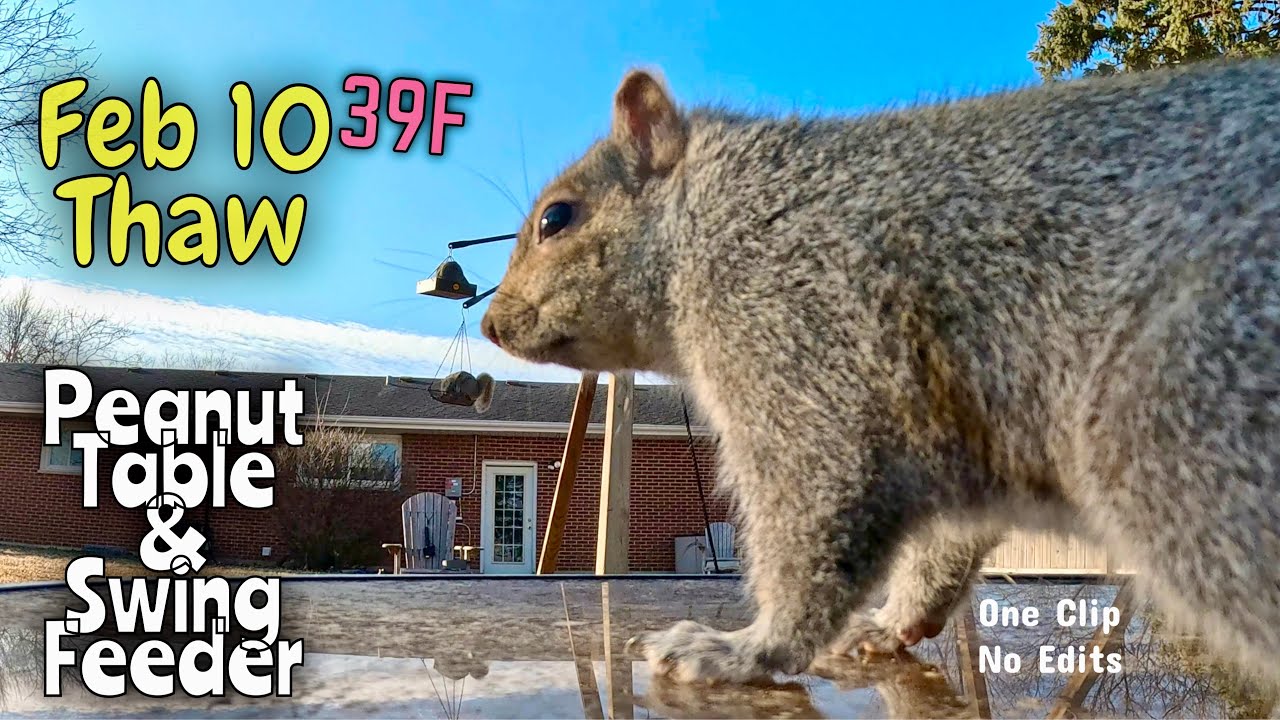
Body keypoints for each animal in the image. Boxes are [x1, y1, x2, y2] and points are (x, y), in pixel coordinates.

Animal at [480, 59, 1280, 687]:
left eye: (558, 218)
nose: (492, 325)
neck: (713, 216)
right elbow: (942, 547)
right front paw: (892, 625)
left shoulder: (798, 336)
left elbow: (816, 508)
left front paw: (744, 650)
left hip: (1181, 425)